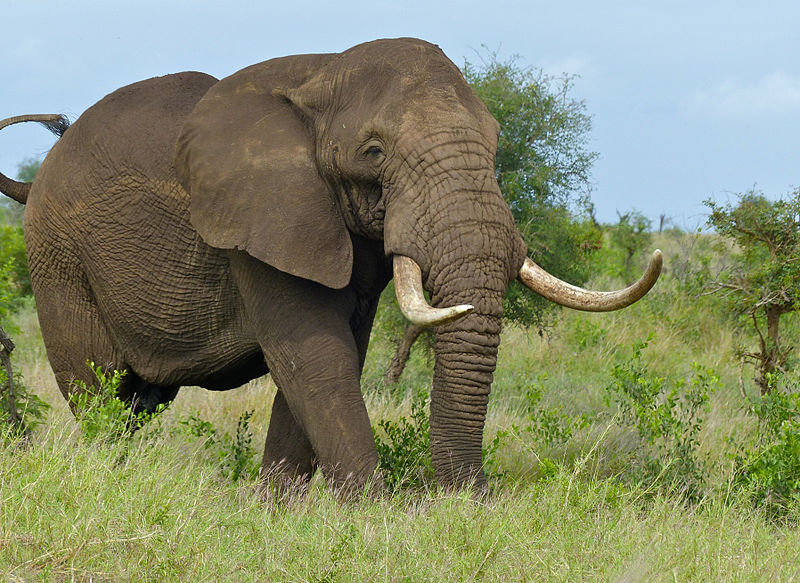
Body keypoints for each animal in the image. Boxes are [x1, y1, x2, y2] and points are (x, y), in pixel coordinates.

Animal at [0, 37, 660, 492]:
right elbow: (315, 356)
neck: (322, 71)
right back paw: (109, 482)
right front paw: (378, 519)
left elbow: (332, 356)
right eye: (374, 153)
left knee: (141, 400)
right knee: (98, 388)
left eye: (497, 145)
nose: (470, 503)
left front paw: (274, 516)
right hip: (58, 255)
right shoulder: (257, 220)